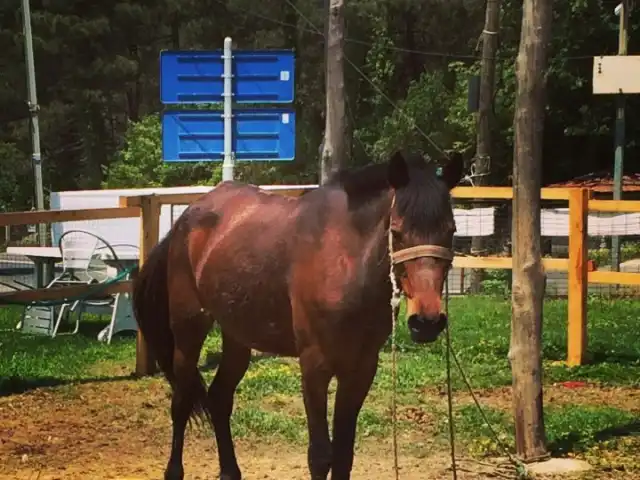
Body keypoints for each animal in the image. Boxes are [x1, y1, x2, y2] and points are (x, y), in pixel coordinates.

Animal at [135, 151, 462, 480]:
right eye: (396, 230)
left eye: (451, 231)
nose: (426, 322)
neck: (345, 260)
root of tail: (185, 220)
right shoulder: (314, 366)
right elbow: (320, 456)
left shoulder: (360, 369)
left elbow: (343, 454)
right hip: (189, 329)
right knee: (181, 402)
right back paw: (174, 470)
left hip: (238, 336)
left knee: (219, 399)